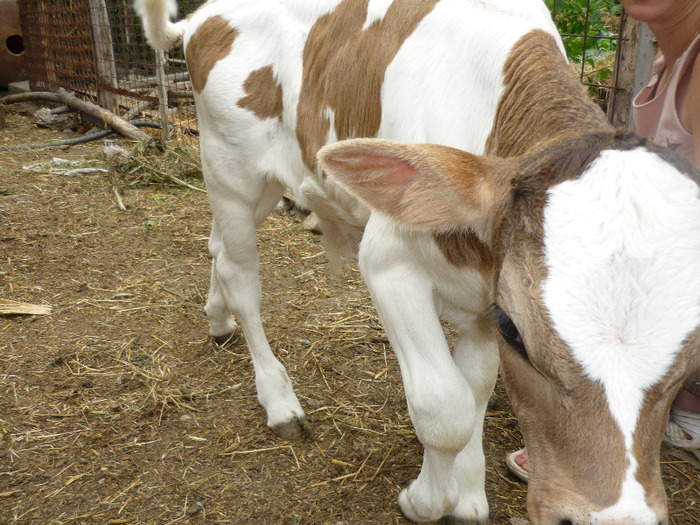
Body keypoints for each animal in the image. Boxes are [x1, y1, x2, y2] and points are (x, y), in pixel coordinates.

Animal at [135, 1, 700, 524]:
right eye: (514, 331)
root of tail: (202, 16)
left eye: (693, 353)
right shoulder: (390, 263)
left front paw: (467, 495)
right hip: (229, 170)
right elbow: (444, 408)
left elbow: (474, 391)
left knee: (217, 247)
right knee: (241, 275)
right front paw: (426, 501)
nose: (615, 518)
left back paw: (217, 317)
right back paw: (277, 396)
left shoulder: (485, 286)